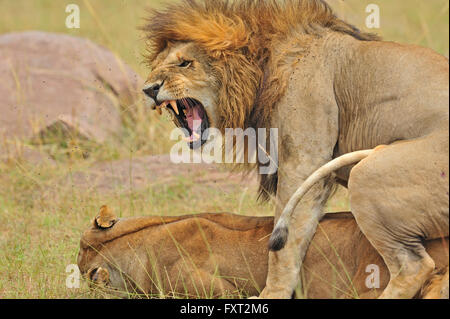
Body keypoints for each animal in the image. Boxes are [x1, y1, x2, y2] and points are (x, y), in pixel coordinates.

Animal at [142, 0, 448, 300]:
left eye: (185, 63)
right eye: (156, 66)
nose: (148, 89)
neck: (262, 68)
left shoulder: (304, 162)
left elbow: (284, 245)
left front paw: (272, 293)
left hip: (369, 174)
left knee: (413, 266)